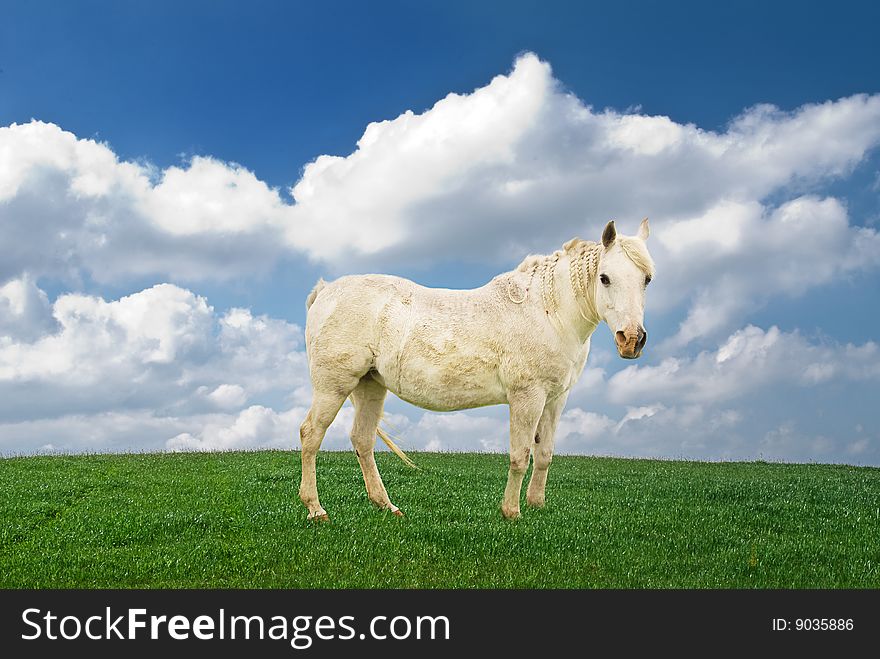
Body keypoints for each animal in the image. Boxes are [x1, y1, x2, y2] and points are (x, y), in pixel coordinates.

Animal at [300, 220, 648, 520]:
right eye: (604, 278)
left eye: (646, 279)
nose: (631, 340)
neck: (548, 311)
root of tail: (325, 290)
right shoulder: (527, 397)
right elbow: (520, 454)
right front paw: (511, 512)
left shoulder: (554, 400)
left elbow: (544, 453)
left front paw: (536, 505)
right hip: (333, 385)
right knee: (311, 435)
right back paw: (316, 510)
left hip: (370, 385)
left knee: (362, 440)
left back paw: (387, 506)